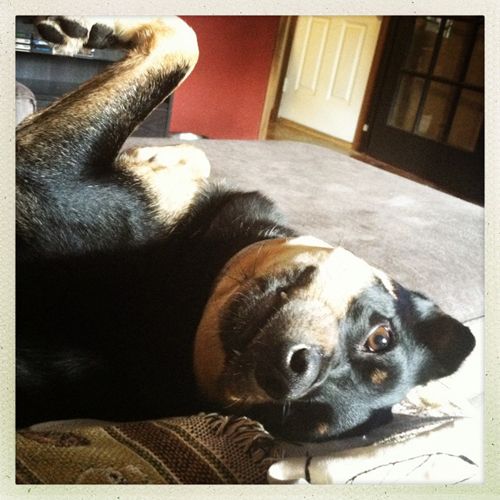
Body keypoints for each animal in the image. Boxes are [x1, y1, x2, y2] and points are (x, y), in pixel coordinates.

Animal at [15, 17, 474, 442]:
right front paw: (169, 156)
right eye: (381, 339)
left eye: (288, 417)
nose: (293, 373)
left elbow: (185, 44)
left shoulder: (41, 171)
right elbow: (193, 136)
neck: (197, 280)